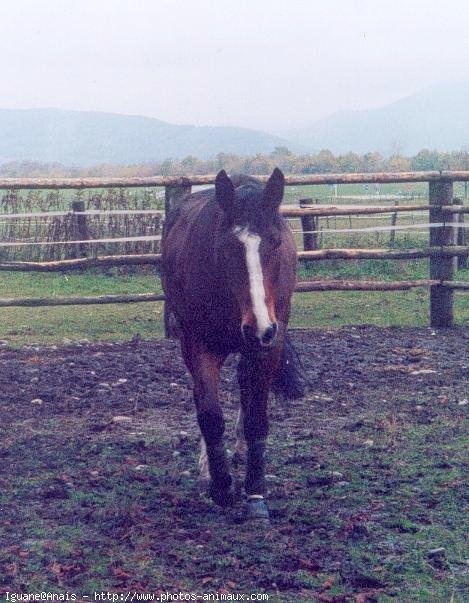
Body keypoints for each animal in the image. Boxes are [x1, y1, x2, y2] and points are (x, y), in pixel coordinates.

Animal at [162, 169, 304, 524]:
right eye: (227, 246)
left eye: (276, 242)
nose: (258, 328)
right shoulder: (197, 345)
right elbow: (210, 415)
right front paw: (222, 486)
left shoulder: (269, 345)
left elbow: (256, 419)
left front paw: (255, 494)